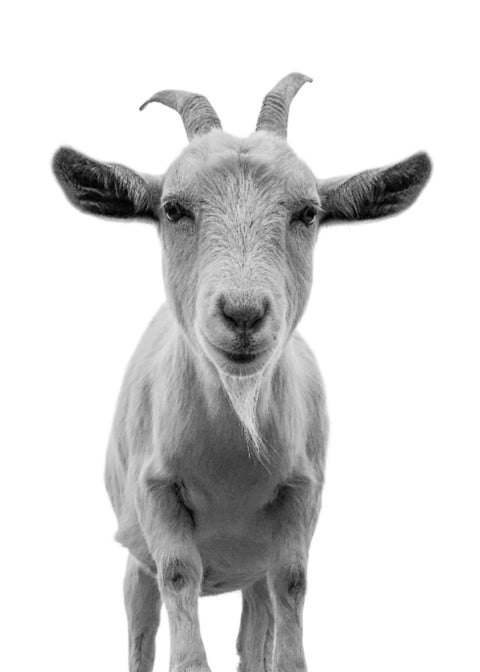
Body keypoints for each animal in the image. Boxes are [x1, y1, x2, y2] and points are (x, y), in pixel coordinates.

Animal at [53, 73, 431, 672]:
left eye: (308, 212)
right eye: (173, 209)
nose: (244, 313)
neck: (234, 447)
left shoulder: (301, 495)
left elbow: (292, 583)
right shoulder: (156, 492)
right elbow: (178, 575)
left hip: (249, 571)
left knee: (256, 630)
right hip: (133, 557)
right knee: (141, 627)